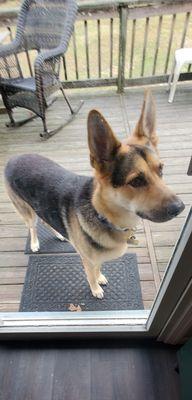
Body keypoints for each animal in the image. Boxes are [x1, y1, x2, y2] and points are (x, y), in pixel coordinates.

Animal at [4, 90, 184, 296]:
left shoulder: (96, 258)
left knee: (44, 220)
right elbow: (91, 274)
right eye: (136, 181)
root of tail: (14, 157)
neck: (103, 215)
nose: (181, 208)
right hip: (26, 211)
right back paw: (34, 243)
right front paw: (95, 288)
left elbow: (98, 268)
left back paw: (58, 234)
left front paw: (99, 278)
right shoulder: (87, 259)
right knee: (33, 226)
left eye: (161, 169)